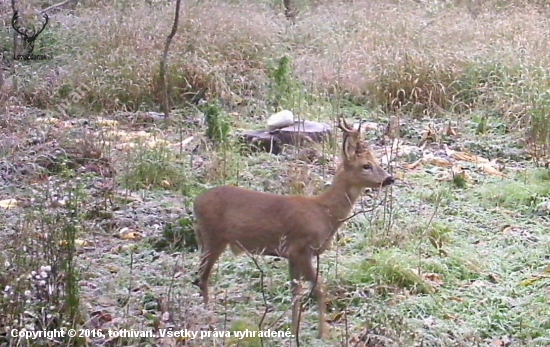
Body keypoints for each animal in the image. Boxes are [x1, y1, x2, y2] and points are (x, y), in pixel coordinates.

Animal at [192, 117, 394, 340]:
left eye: (376, 162)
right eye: (366, 165)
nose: (389, 178)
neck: (324, 213)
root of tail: (195, 203)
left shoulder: (290, 254)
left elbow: (294, 292)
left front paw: (293, 329)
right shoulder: (302, 248)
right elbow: (319, 288)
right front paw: (322, 333)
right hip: (213, 237)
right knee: (202, 277)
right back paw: (210, 320)